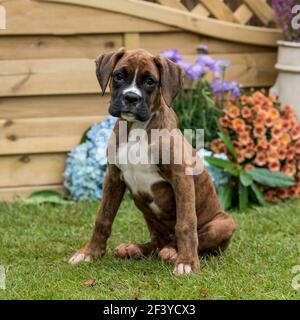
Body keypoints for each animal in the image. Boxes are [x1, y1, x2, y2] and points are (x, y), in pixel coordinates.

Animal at [69, 47, 236, 276]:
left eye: (150, 81)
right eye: (119, 76)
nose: (131, 97)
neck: (137, 128)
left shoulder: (181, 177)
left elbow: (186, 223)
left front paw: (187, 263)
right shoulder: (113, 177)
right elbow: (103, 217)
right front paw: (90, 253)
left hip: (225, 223)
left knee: (191, 240)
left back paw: (174, 252)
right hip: (149, 218)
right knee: (157, 242)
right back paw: (135, 248)